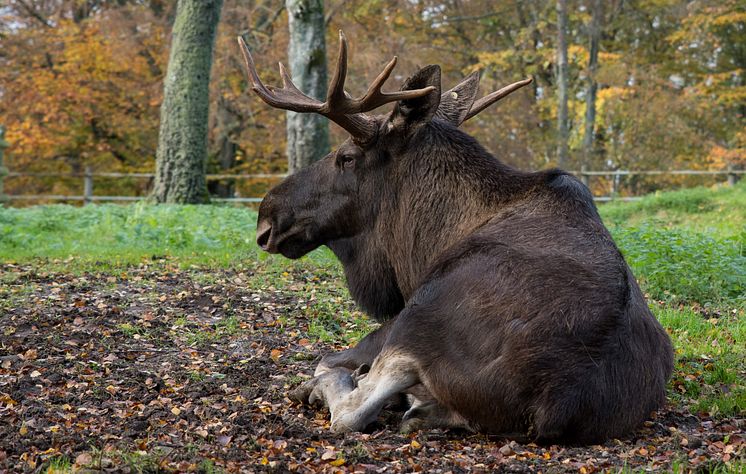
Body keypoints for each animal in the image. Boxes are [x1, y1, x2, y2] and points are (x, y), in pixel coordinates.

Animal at [238, 33, 676, 444]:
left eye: (346, 156)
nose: (267, 217)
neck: (425, 242)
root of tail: (552, 403)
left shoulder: (401, 314)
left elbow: (327, 359)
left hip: (416, 323)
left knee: (349, 411)